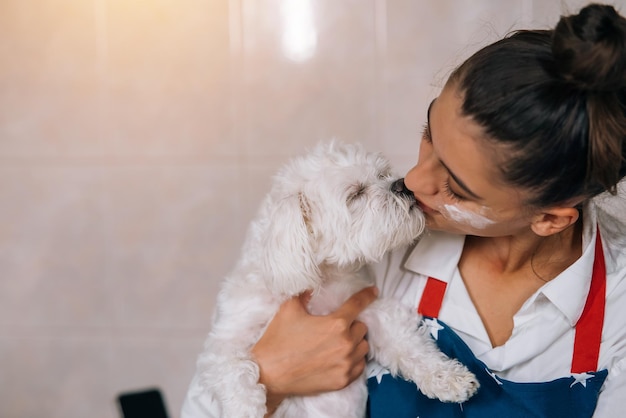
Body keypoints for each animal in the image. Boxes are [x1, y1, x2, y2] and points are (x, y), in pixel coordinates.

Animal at [195, 142, 478, 416]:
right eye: (356, 194)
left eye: (382, 174)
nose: (402, 184)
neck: (320, 280)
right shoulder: (224, 341)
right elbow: (235, 370)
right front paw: (245, 408)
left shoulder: (368, 310)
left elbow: (408, 344)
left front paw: (447, 377)